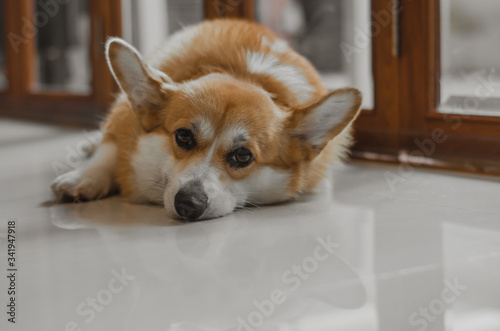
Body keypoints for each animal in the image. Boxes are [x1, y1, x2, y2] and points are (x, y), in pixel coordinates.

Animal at [50, 17, 362, 220]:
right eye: (183, 136)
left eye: (243, 156)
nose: (188, 204)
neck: (244, 74)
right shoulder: (124, 120)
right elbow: (110, 149)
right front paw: (84, 177)